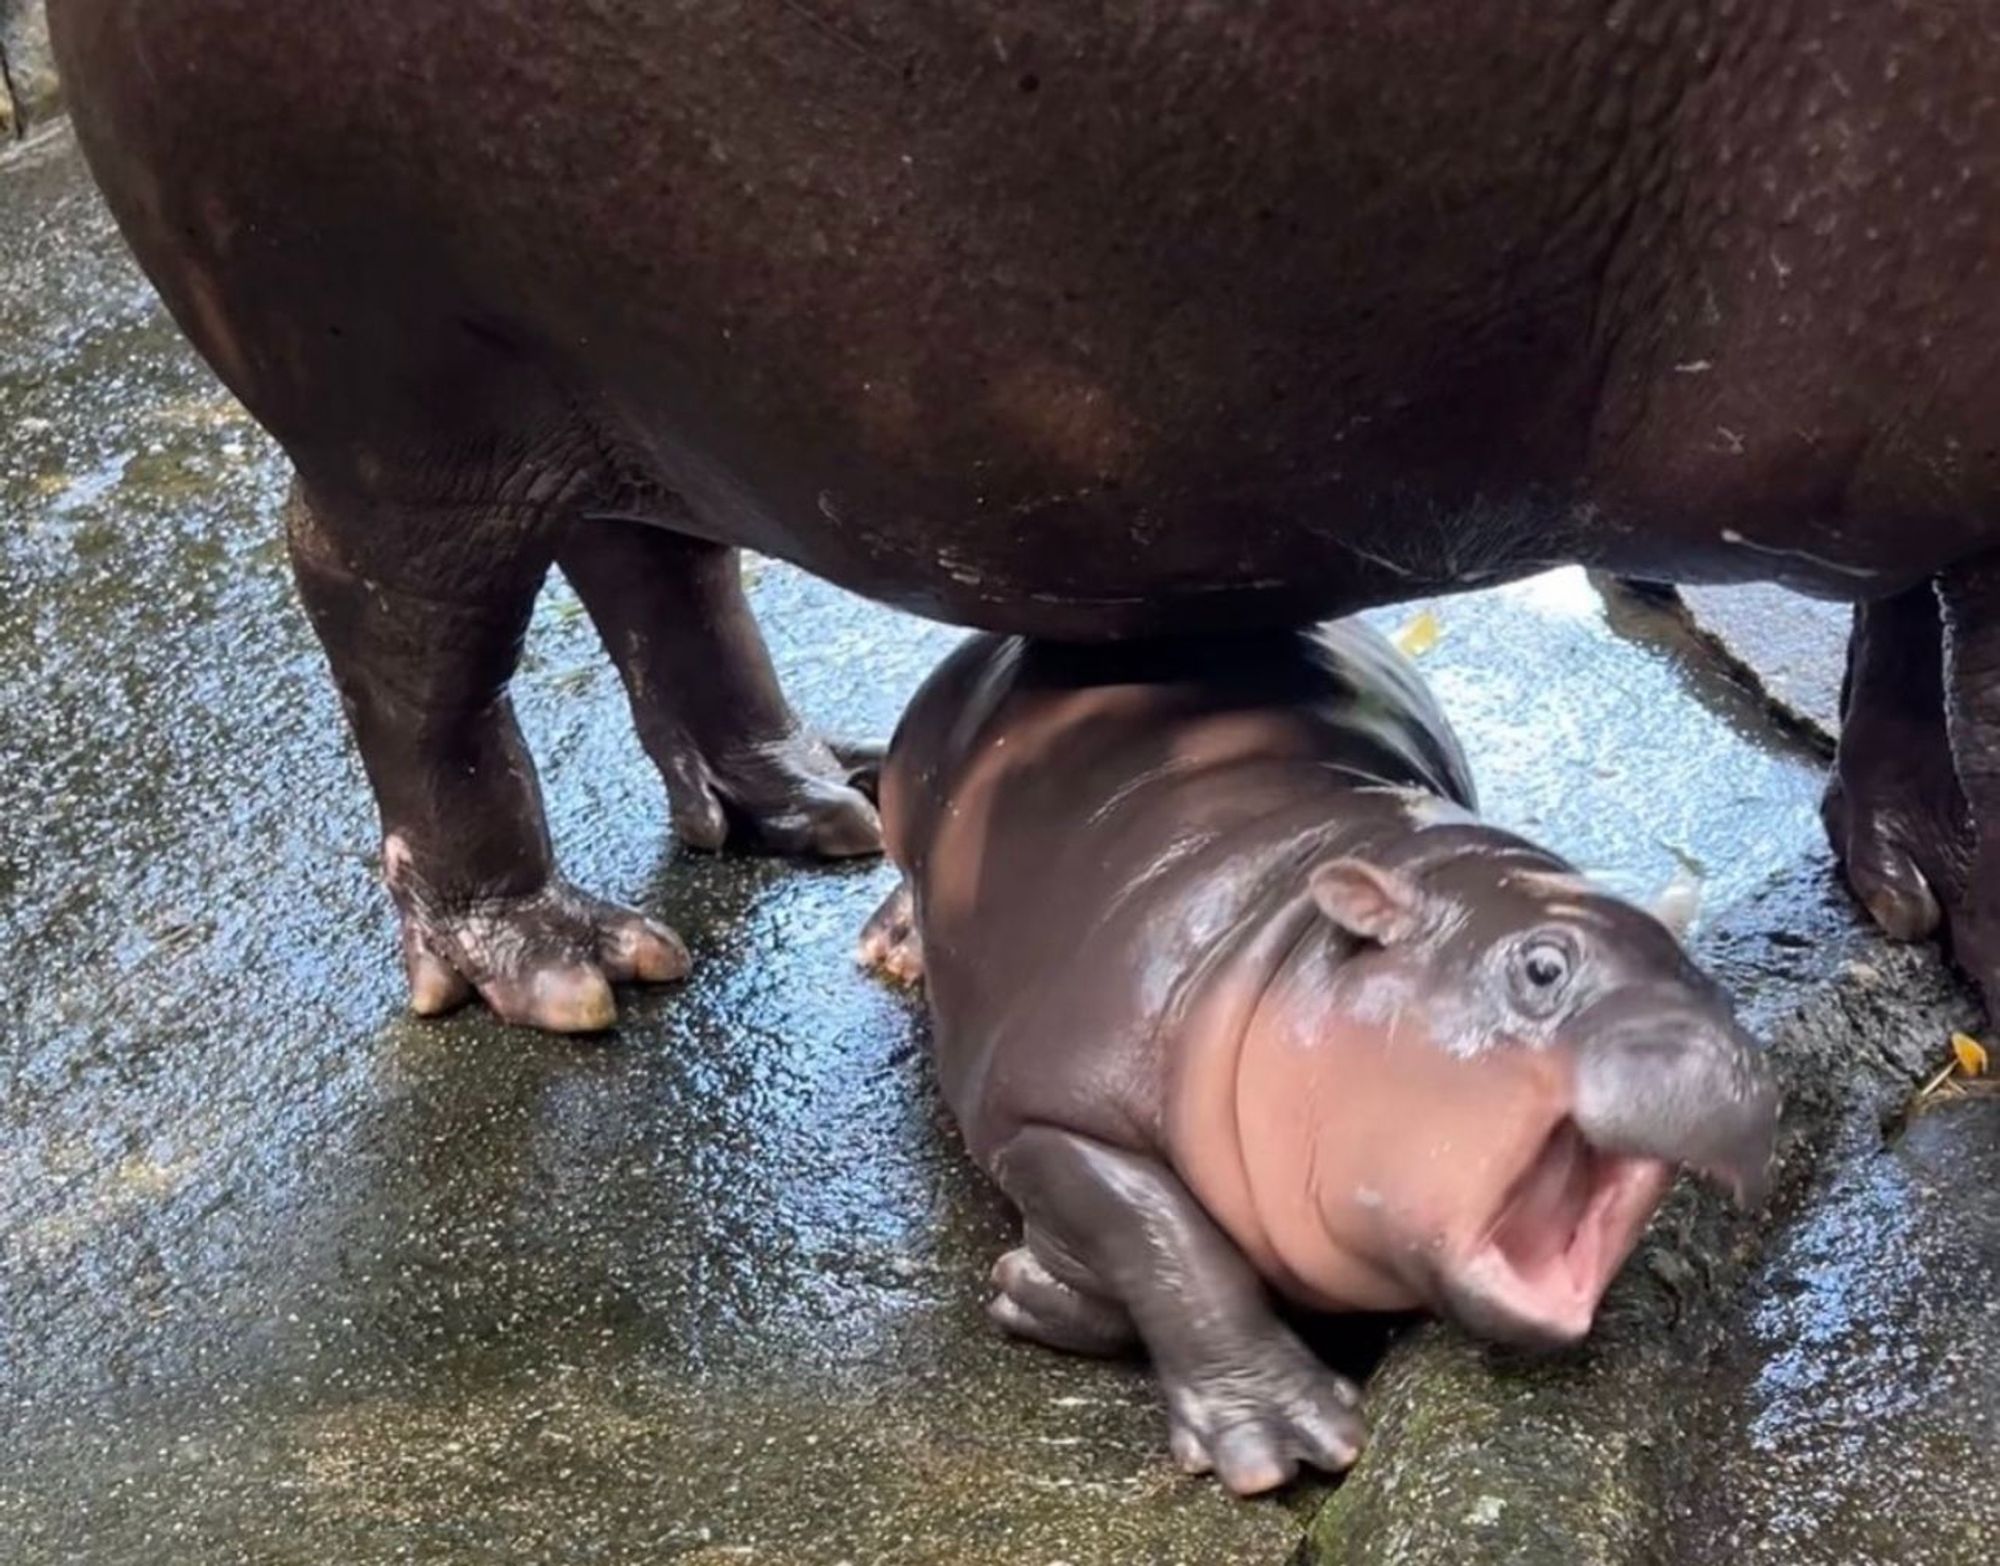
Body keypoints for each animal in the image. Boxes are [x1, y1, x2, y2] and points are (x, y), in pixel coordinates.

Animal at [50, 3, 2000, 1032]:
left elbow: (1907, 624)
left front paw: (1920, 887)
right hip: (402, 390)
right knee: (398, 633)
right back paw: (558, 966)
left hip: (621, 368)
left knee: (651, 557)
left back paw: (808, 805)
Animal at [860, 620, 1784, 1496]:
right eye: (1543, 966)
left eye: (1702, 975)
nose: (1736, 1064)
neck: (1291, 928)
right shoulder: (1044, 1111)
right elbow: (1168, 1236)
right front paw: (1283, 1439)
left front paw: (1036, 1289)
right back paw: (896, 948)